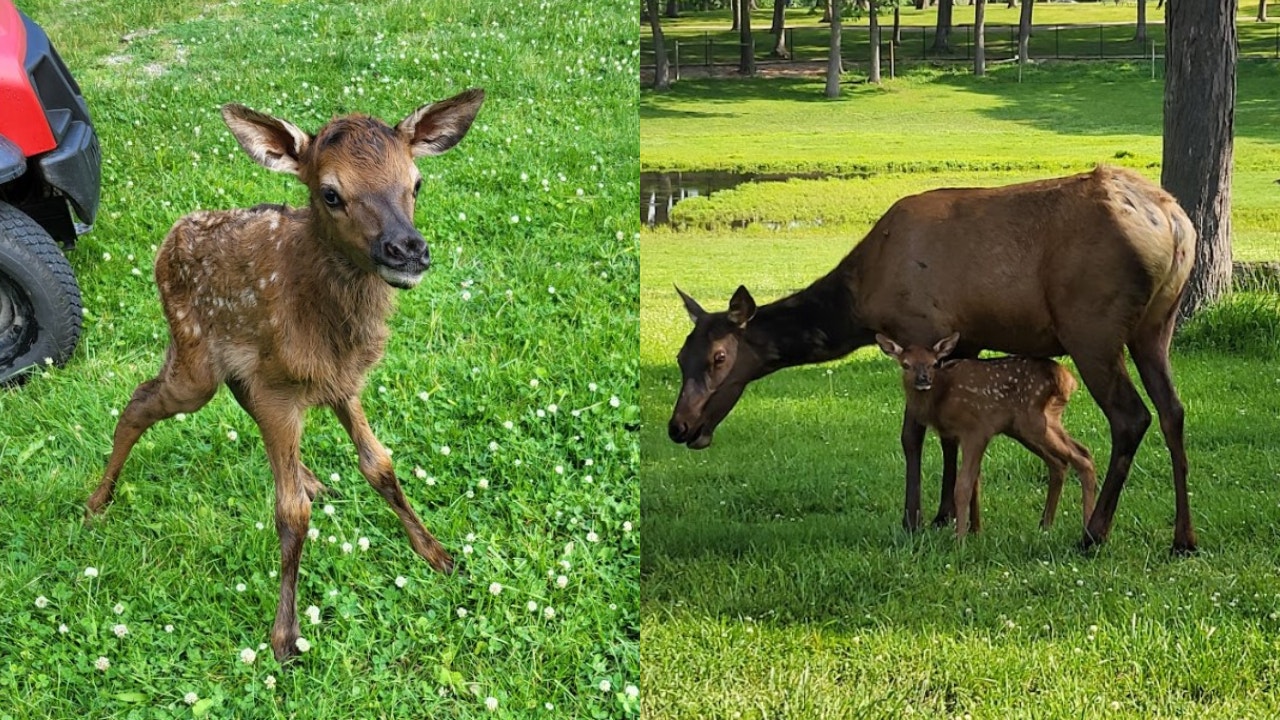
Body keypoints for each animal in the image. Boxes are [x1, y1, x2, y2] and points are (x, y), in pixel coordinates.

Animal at [84, 88, 486, 662]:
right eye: (331, 194)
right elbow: (290, 513)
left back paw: (310, 477)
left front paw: (437, 554)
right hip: (192, 359)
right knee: (141, 399)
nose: (407, 249)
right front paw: (284, 634)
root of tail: (168, 238)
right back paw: (98, 500)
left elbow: (380, 465)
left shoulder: (340, 383)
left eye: (417, 182)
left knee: (234, 397)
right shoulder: (282, 389)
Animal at [876, 332, 1098, 539]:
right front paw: (975, 531)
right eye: (906, 365)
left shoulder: (976, 429)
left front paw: (960, 541)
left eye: (933, 364)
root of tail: (1069, 380)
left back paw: (1086, 531)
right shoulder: (959, 435)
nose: (924, 379)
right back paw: (1046, 526)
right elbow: (976, 480)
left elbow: (963, 485)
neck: (941, 399)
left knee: (1080, 458)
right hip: (1034, 425)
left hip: (1033, 423)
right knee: (1067, 458)